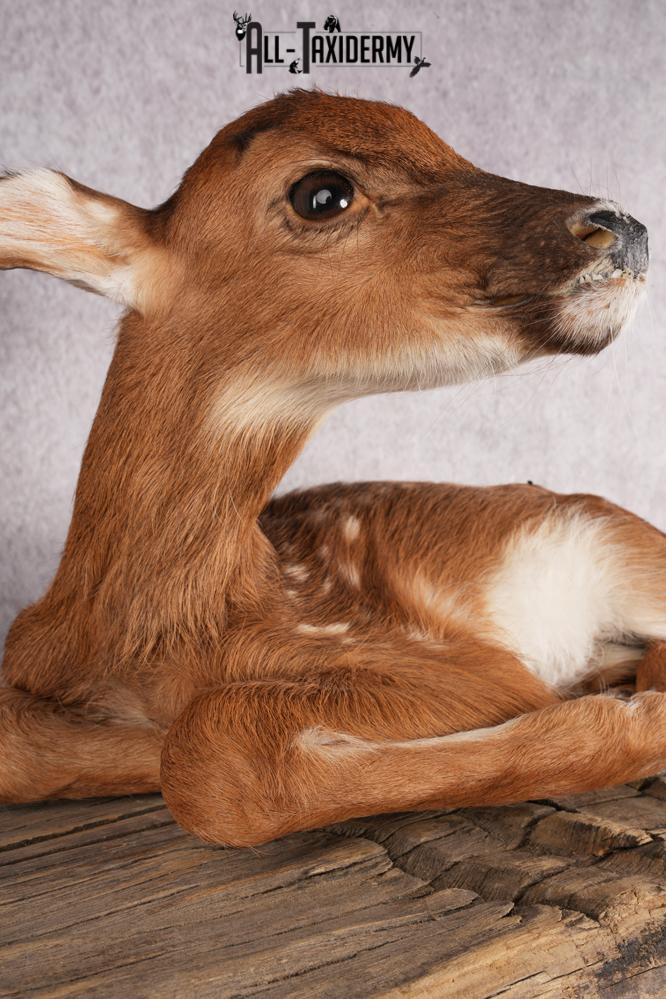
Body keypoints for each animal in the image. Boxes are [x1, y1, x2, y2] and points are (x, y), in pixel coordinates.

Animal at [0, 89, 663, 849]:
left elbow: (207, 749)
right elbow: (25, 748)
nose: (624, 226)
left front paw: (635, 719)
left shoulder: (454, 661)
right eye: (322, 193)